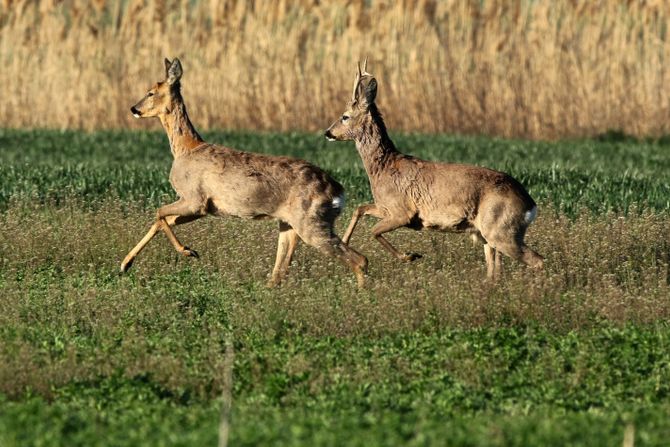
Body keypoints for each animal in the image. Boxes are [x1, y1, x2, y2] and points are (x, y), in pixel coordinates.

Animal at [121, 58, 368, 288]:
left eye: (151, 92)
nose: (133, 108)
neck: (185, 148)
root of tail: (337, 191)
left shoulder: (195, 198)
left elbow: (159, 212)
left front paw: (188, 251)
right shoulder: (202, 207)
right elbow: (163, 219)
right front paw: (125, 264)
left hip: (311, 222)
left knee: (359, 259)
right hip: (290, 223)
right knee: (280, 271)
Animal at [326, 62, 544, 280]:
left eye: (344, 117)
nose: (328, 132)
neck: (383, 169)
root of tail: (530, 204)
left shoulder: (403, 211)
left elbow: (374, 231)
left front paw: (409, 256)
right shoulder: (385, 206)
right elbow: (360, 209)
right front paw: (344, 245)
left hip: (501, 230)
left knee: (537, 260)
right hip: (488, 234)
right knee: (495, 270)